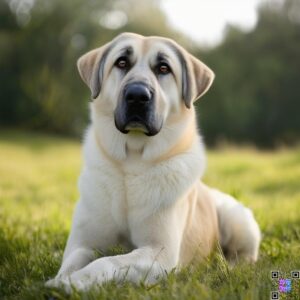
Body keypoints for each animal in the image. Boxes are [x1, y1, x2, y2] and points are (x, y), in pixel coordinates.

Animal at [46, 33, 260, 292]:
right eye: (121, 63)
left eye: (163, 68)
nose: (137, 96)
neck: (133, 160)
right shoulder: (83, 242)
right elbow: (74, 259)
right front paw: (60, 279)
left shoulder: (160, 252)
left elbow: (107, 261)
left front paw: (73, 282)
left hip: (237, 218)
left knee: (244, 256)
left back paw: (227, 266)